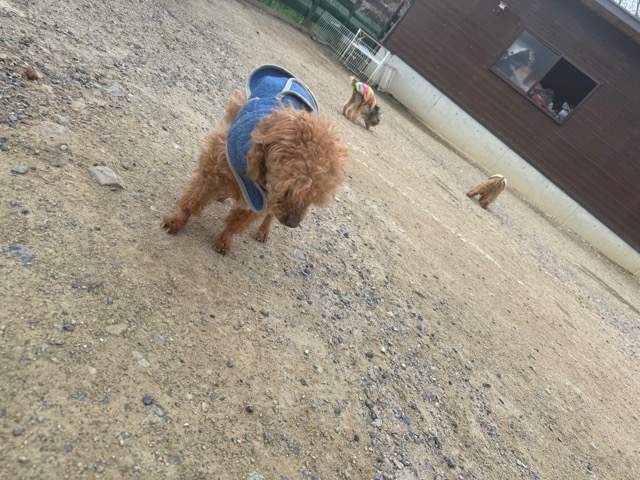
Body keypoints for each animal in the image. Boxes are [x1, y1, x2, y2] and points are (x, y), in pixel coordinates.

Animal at [162, 65, 349, 255]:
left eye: (313, 196)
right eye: (289, 188)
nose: (293, 223)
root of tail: (295, 80)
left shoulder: (261, 200)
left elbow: (238, 221)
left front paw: (224, 240)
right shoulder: (215, 168)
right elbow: (195, 198)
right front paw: (177, 220)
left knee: (269, 215)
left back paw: (263, 230)